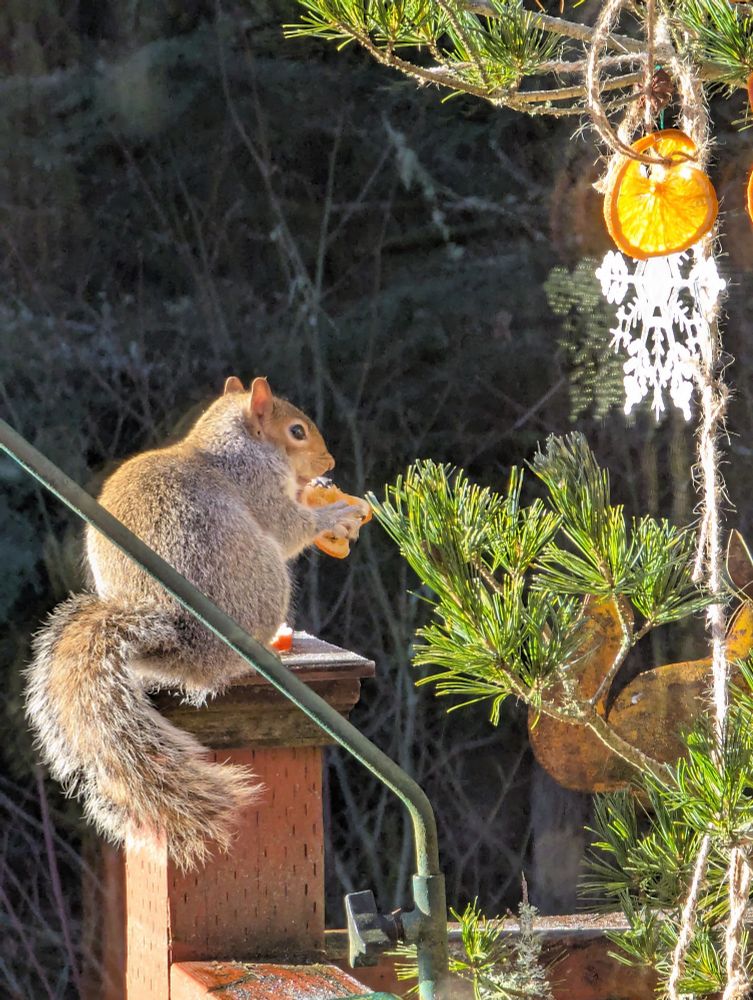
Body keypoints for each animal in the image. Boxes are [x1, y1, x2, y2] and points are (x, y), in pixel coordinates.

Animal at [25, 376, 368, 870]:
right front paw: (333, 514)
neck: (232, 442)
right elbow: (289, 526)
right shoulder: (257, 481)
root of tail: (181, 641)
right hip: (265, 580)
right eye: (297, 431)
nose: (330, 463)